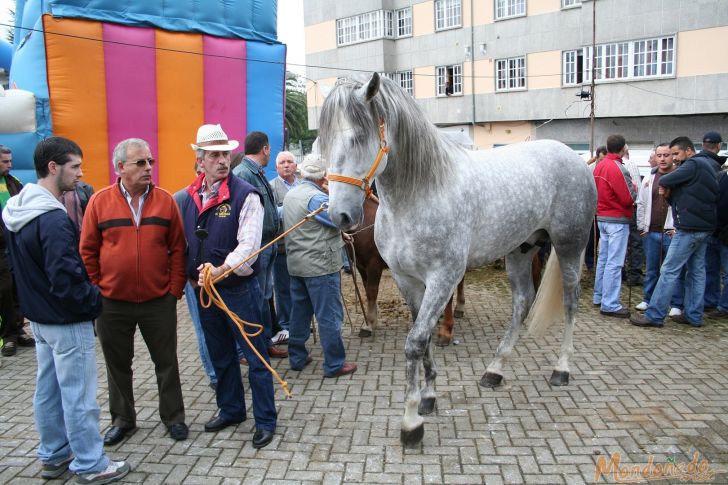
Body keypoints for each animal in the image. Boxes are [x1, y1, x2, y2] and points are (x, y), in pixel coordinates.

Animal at [344, 197, 464, 344]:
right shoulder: (361, 267)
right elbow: (367, 291)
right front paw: (371, 321)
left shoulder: (373, 266)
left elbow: (372, 292)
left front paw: (369, 325)